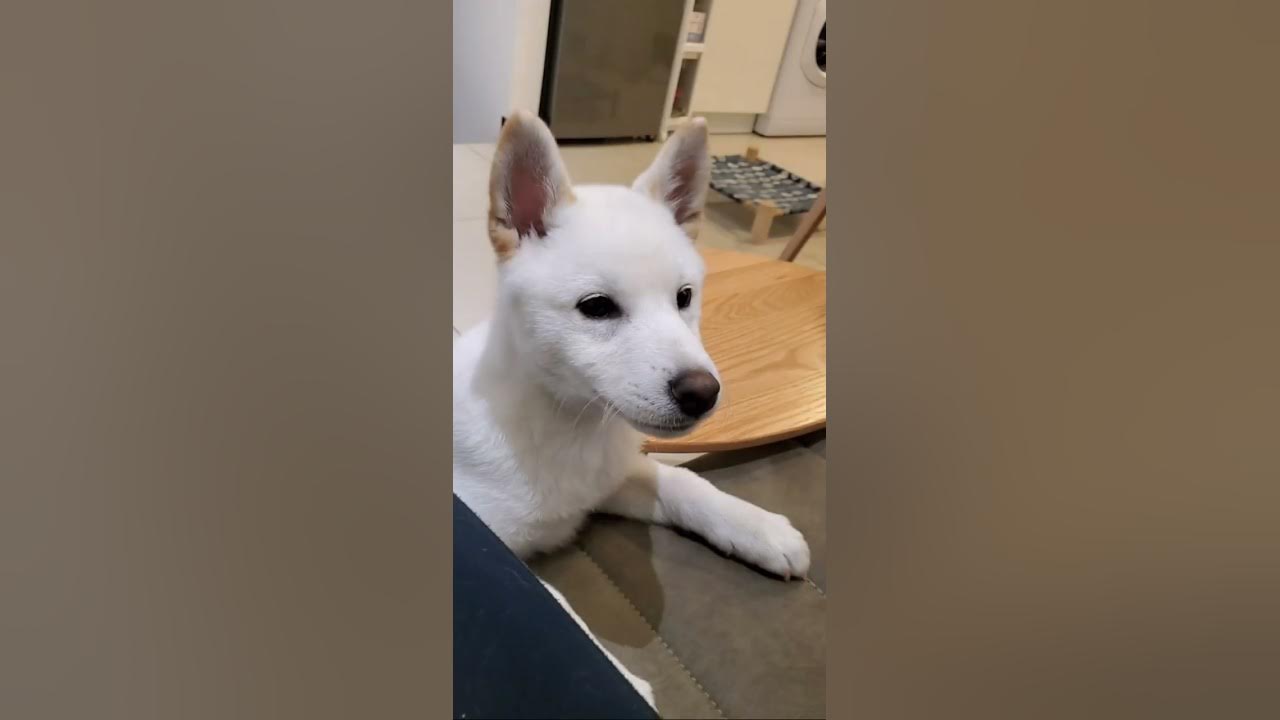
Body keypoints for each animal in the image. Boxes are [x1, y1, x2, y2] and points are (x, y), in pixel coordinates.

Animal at [450, 112, 808, 707]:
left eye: (685, 296)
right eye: (597, 308)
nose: (703, 392)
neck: (565, 424)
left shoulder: (612, 478)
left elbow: (685, 483)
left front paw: (756, 526)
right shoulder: (485, 542)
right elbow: (553, 603)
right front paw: (624, 678)